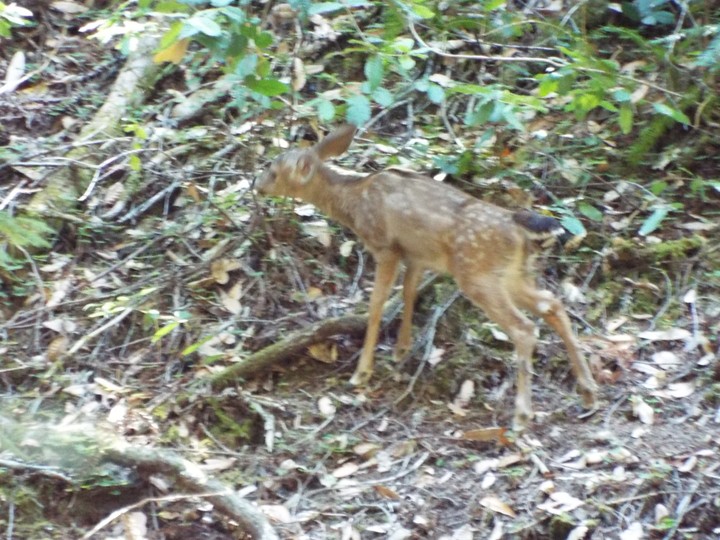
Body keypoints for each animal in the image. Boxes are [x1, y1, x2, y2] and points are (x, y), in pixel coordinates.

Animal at [256, 125, 598, 430]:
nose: (256, 184)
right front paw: (401, 350)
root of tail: (519, 227)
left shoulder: (386, 247)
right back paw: (588, 391)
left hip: (476, 274)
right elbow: (408, 292)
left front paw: (362, 372)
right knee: (552, 304)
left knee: (524, 327)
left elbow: (377, 304)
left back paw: (523, 416)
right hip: (512, 275)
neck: (354, 202)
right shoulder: (416, 255)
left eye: (274, 170)